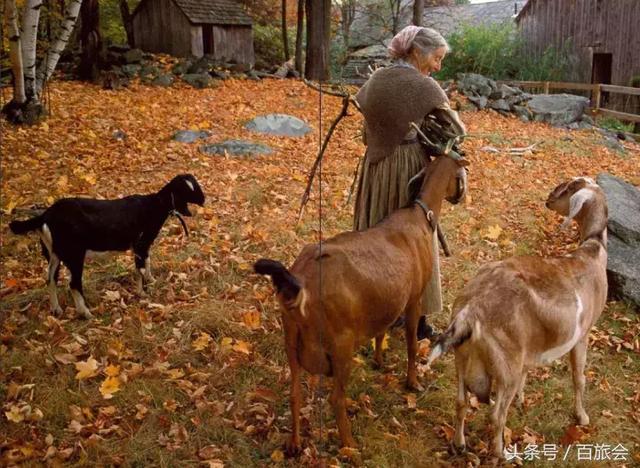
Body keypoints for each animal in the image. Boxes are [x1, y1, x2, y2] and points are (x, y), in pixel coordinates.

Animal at [9, 174, 205, 320]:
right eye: (187, 189)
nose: (204, 200)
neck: (154, 205)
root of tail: (46, 215)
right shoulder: (140, 244)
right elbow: (140, 269)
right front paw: (142, 293)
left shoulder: (144, 246)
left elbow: (147, 262)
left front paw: (152, 280)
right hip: (75, 254)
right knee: (73, 284)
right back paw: (86, 313)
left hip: (53, 254)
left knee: (50, 279)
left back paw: (56, 310)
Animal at [252, 154, 468, 454]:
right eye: (461, 172)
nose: (460, 197)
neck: (419, 216)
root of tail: (300, 283)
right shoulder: (413, 299)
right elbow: (412, 344)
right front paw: (412, 382)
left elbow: (381, 330)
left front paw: (378, 360)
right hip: (340, 346)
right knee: (335, 399)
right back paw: (349, 447)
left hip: (291, 341)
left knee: (294, 394)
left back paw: (294, 445)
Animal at [428, 177, 608, 458]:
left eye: (568, 188)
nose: (548, 200)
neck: (593, 251)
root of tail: (471, 310)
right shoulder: (583, 334)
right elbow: (579, 378)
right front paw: (582, 417)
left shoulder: (529, 347)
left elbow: (528, 372)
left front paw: (523, 401)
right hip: (505, 364)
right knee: (495, 415)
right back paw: (501, 453)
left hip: (463, 356)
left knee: (460, 401)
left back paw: (459, 444)